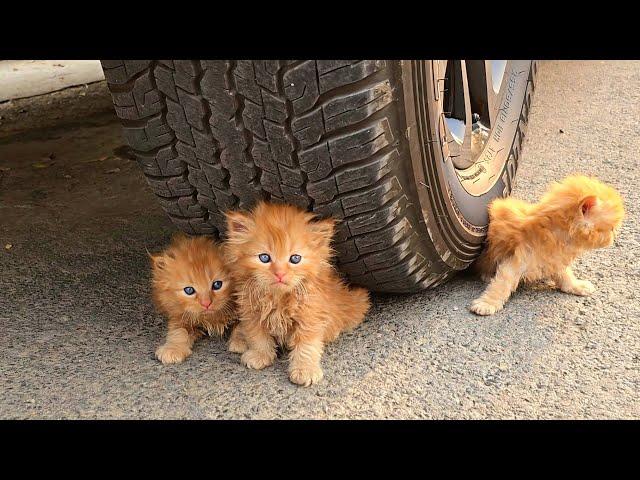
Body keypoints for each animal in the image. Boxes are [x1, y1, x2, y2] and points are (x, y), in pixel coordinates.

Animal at [150, 233, 235, 364]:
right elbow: (178, 333)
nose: (206, 303)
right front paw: (172, 349)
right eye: (189, 290)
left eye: (217, 285)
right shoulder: (179, 317)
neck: (211, 318)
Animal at [222, 202, 370, 386]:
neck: (277, 298)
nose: (280, 274)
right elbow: (257, 336)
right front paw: (260, 355)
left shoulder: (310, 315)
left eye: (295, 259)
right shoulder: (251, 312)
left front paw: (304, 370)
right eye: (264, 258)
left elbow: (306, 346)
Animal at [470, 174, 624, 316]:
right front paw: (487, 303)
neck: (558, 237)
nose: (613, 239)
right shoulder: (517, 262)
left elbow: (566, 276)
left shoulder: (555, 261)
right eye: (611, 229)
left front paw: (576, 285)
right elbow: (502, 284)